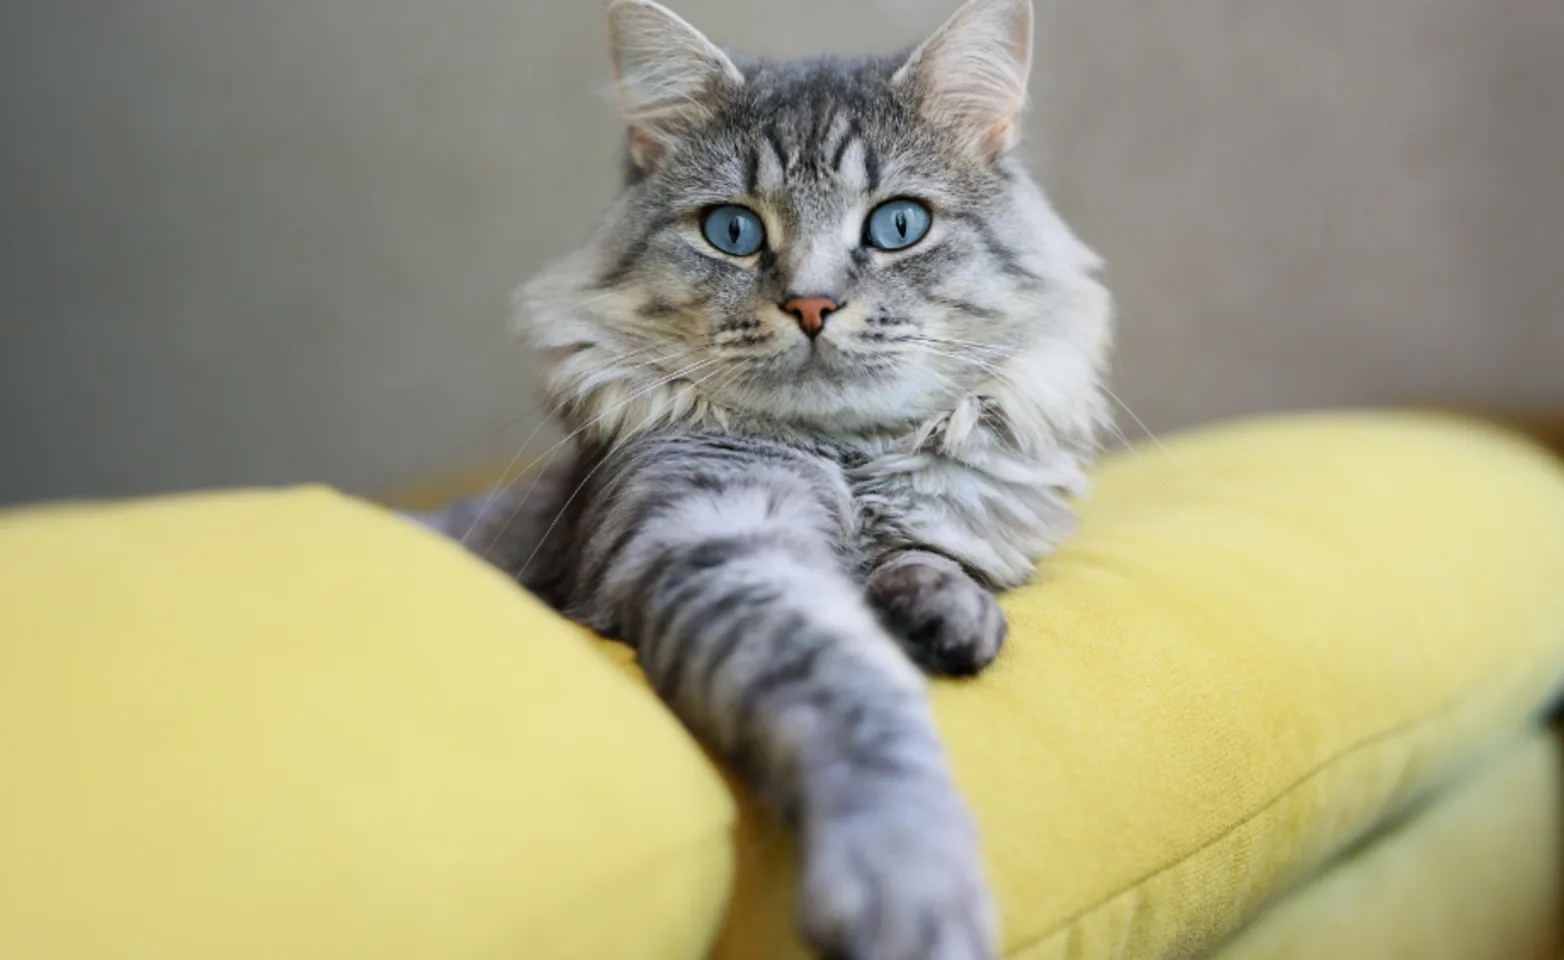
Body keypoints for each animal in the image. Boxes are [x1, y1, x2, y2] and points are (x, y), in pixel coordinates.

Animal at [419, 1, 1113, 956]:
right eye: (734, 232)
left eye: (898, 226)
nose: (811, 306)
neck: (846, 457)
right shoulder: (717, 540)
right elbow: (856, 694)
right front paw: (910, 888)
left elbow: (937, 559)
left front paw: (948, 616)